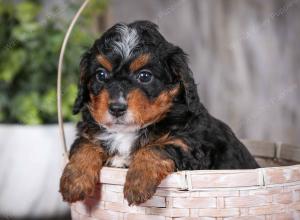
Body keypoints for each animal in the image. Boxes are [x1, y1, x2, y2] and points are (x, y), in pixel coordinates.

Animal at [59, 19, 258, 205]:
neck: (126, 132)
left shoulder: (190, 147)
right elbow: (84, 144)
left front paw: (137, 184)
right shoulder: (89, 132)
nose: (116, 108)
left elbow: (156, 147)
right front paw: (74, 182)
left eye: (145, 76)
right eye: (101, 75)